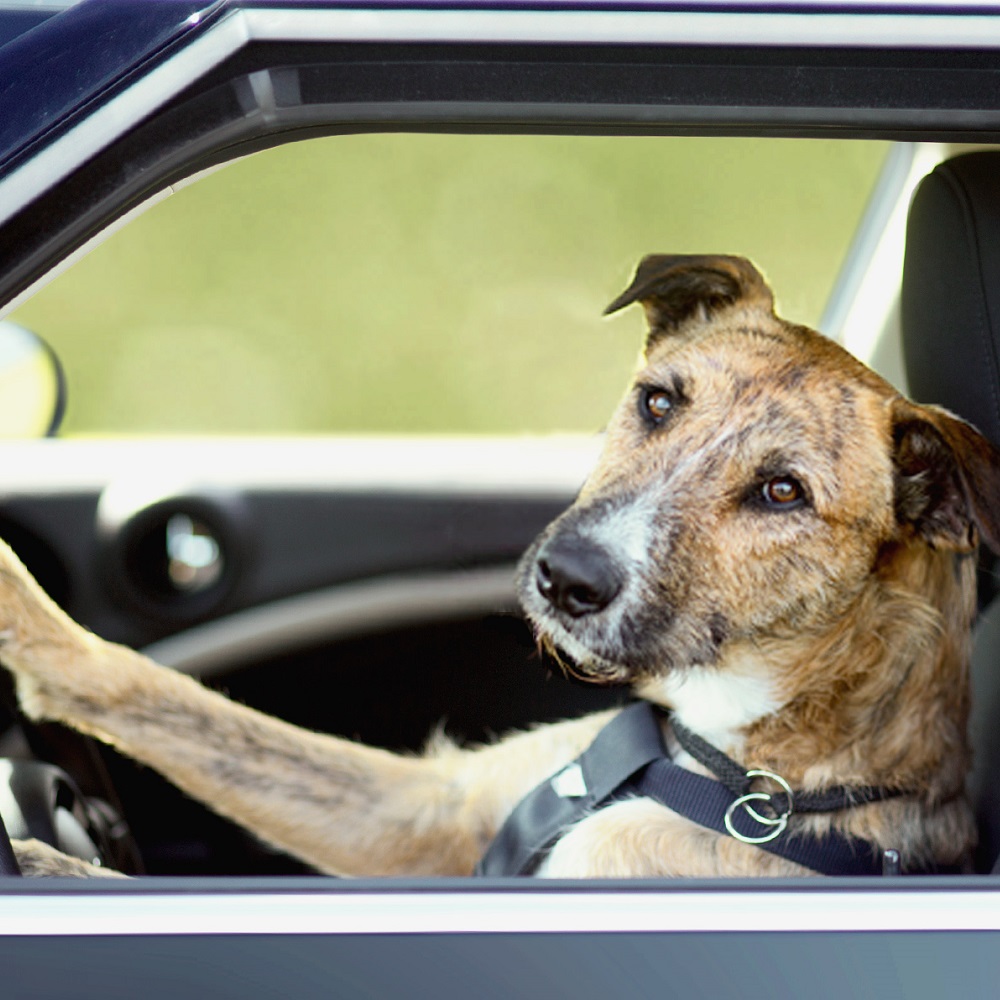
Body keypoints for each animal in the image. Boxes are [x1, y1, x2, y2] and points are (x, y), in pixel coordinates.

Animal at [1, 256, 1000, 876]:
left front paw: (44, 863)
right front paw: (20, 606)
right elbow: (178, 705)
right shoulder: (427, 814)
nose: (567, 578)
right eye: (658, 400)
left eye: (784, 491)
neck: (731, 774)